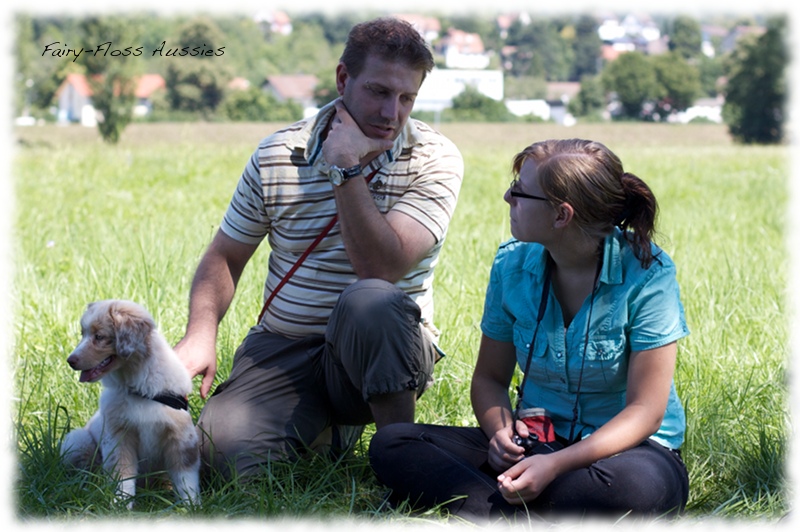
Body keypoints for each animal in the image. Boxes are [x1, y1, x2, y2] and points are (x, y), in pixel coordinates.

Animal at [60, 300, 200, 508]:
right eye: (82, 334)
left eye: (99, 336)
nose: (70, 361)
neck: (137, 387)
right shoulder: (119, 437)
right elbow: (123, 476)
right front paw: (120, 505)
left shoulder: (180, 437)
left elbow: (185, 478)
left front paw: (191, 505)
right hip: (77, 440)